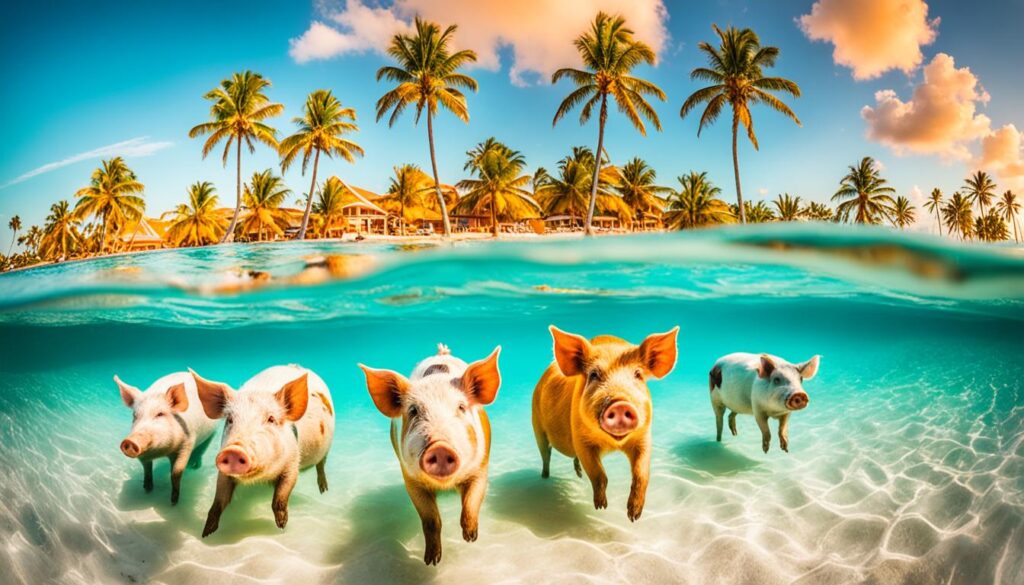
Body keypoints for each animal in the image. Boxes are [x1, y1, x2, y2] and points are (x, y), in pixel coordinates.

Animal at [115, 372, 217, 505]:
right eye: (135, 415)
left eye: (160, 414)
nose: (130, 441)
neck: (162, 452)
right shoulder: (144, 455)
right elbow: (147, 468)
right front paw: (147, 490)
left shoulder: (187, 442)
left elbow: (176, 472)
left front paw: (174, 502)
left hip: (212, 433)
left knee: (201, 450)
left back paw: (194, 466)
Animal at [191, 365, 336, 537]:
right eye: (230, 420)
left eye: (271, 419)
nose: (234, 449)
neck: (262, 477)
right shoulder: (223, 472)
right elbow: (219, 500)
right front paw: (206, 533)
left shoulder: (292, 463)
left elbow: (281, 495)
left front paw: (282, 525)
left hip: (326, 448)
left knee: (321, 464)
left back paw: (324, 490)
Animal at [359, 344, 501, 565]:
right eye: (413, 411)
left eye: (461, 407)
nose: (440, 446)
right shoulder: (411, 480)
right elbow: (430, 519)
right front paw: (431, 561)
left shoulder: (481, 467)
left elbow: (472, 500)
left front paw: (470, 538)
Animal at [532, 326, 679, 521]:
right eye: (594, 375)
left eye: (638, 374)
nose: (620, 403)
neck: (612, 444)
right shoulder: (581, 440)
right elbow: (598, 473)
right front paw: (601, 507)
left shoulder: (644, 437)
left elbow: (641, 473)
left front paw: (634, 516)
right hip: (537, 426)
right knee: (545, 455)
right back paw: (544, 478)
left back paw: (578, 475)